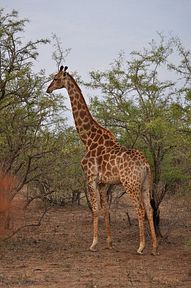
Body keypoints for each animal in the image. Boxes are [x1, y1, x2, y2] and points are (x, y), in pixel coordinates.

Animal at [47, 65, 157, 254]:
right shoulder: (103, 183)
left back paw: (141, 246)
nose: (48, 89)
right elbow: (106, 210)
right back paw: (155, 247)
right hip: (144, 184)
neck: (88, 139)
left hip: (130, 184)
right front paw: (110, 243)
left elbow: (95, 209)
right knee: (149, 209)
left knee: (140, 209)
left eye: (55, 78)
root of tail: (145, 164)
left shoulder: (90, 178)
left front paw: (93, 243)